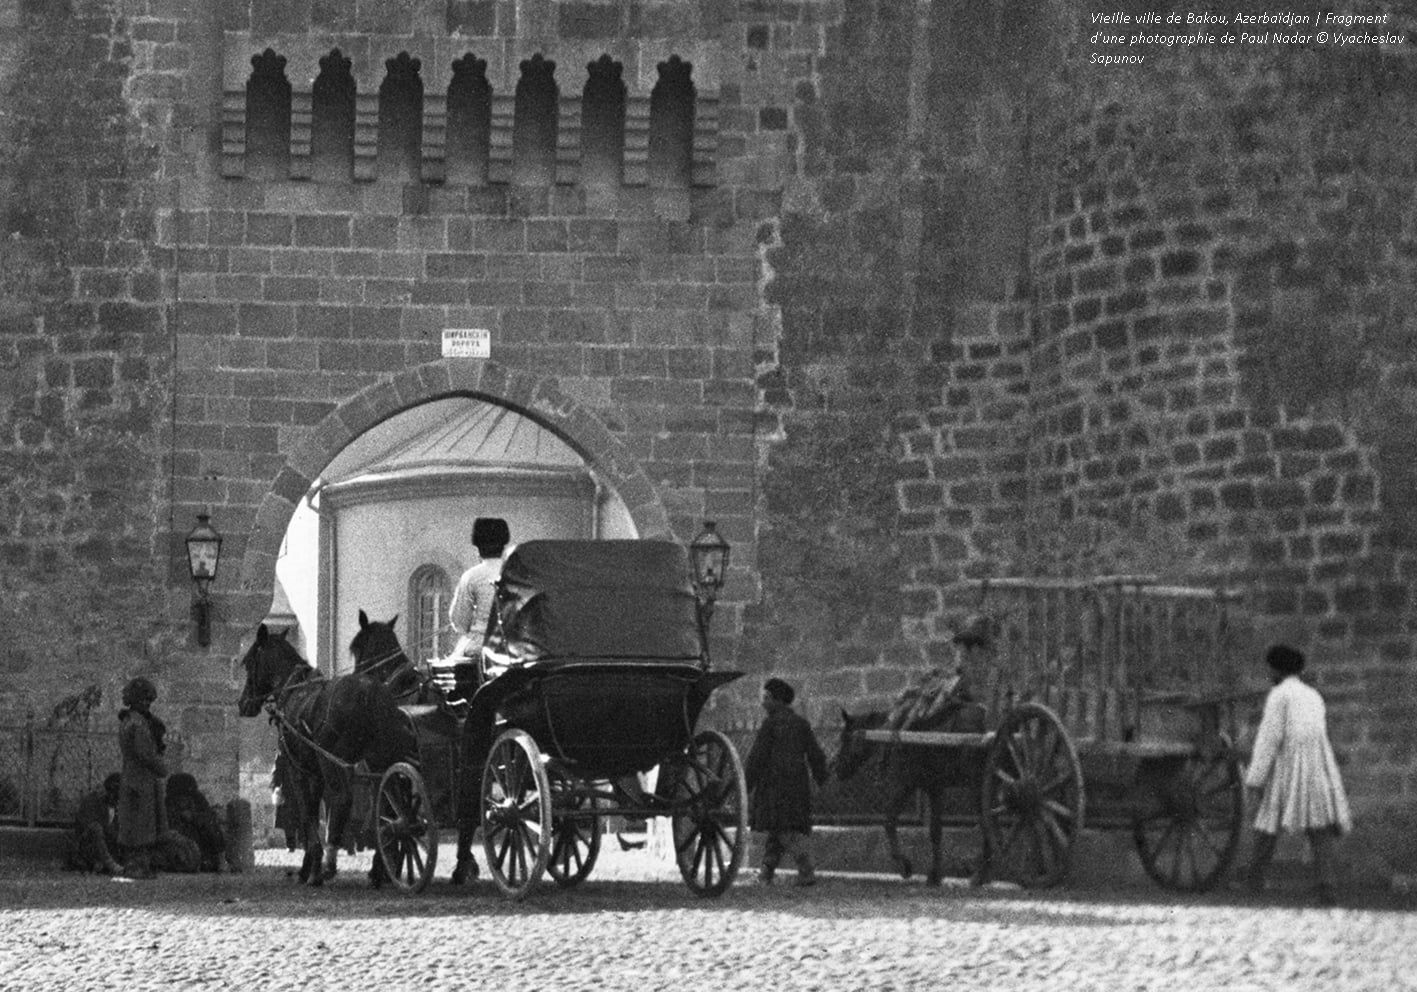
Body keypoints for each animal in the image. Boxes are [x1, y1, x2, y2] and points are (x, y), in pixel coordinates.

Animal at [235, 623, 413, 889]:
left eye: (248, 662)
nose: (243, 703)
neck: (293, 691)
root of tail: (370, 693)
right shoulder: (316, 773)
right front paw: (311, 864)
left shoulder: (299, 771)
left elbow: (307, 813)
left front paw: (311, 867)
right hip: (378, 761)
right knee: (388, 807)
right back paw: (381, 866)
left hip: (333, 763)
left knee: (344, 800)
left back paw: (331, 863)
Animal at [344, 612, 478, 884]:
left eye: (356, 649)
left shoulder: (383, 767)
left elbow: (387, 810)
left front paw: (382, 866)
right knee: (469, 817)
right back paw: (462, 866)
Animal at [827, 705, 986, 884]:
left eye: (845, 738)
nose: (837, 769)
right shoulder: (934, 787)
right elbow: (935, 830)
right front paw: (934, 875)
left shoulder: (906, 784)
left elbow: (889, 821)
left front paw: (905, 866)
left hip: (977, 785)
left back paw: (980, 874)